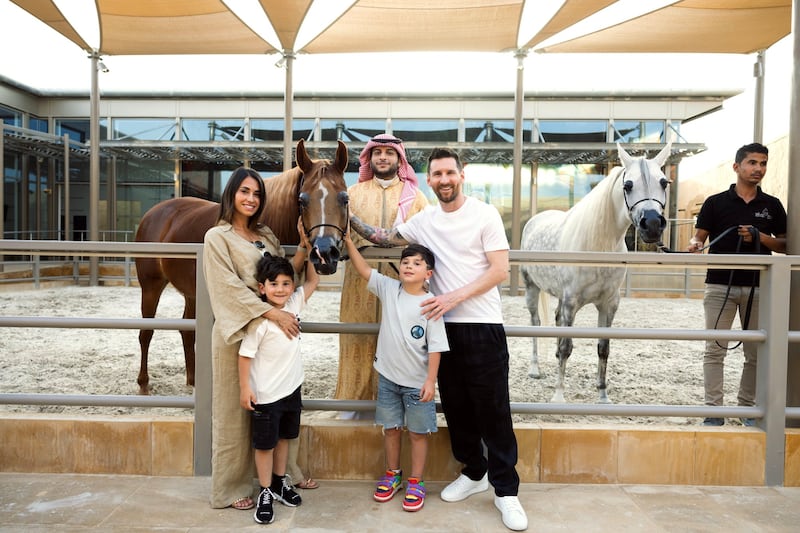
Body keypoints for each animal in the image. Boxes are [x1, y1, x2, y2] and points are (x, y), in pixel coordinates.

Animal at [133, 139, 348, 392]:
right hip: (151, 286)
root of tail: (154, 214)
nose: (325, 253)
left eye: (345, 198)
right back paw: (144, 384)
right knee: (146, 333)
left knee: (187, 331)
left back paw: (193, 382)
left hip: (193, 293)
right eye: (302, 200)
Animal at [520, 143, 672, 402]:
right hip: (532, 288)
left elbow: (603, 348)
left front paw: (603, 396)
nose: (652, 224)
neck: (599, 246)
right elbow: (567, 347)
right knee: (536, 323)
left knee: (556, 319)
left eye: (664, 182)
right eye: (627, 185)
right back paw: (534, 369)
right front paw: (558, 396)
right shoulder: (572, 302)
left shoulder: (609, 304)